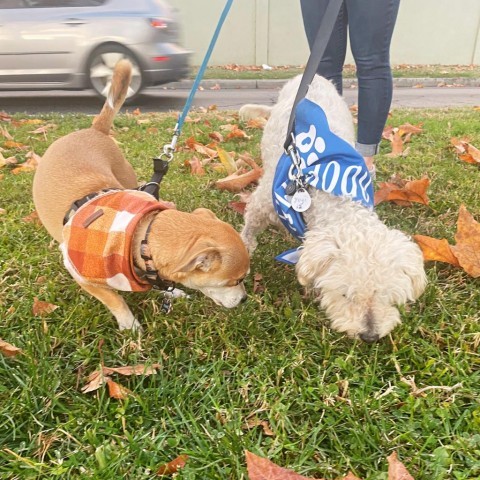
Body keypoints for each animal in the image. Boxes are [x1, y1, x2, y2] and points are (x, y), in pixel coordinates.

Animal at [32, 59, 251, 330]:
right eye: (235, 281)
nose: (244, 299)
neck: (141, 234)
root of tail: (94, 130)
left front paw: (170, 292)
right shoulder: (82, 275)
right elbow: (114, 299)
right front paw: (130, 325)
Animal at [242, 75, 426, 344]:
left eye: (385, 295)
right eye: (345, 295)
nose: (370, 336)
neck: (337, 199)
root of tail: (313, 77)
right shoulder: (264, 200)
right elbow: (250, 224)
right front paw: (246, 248)